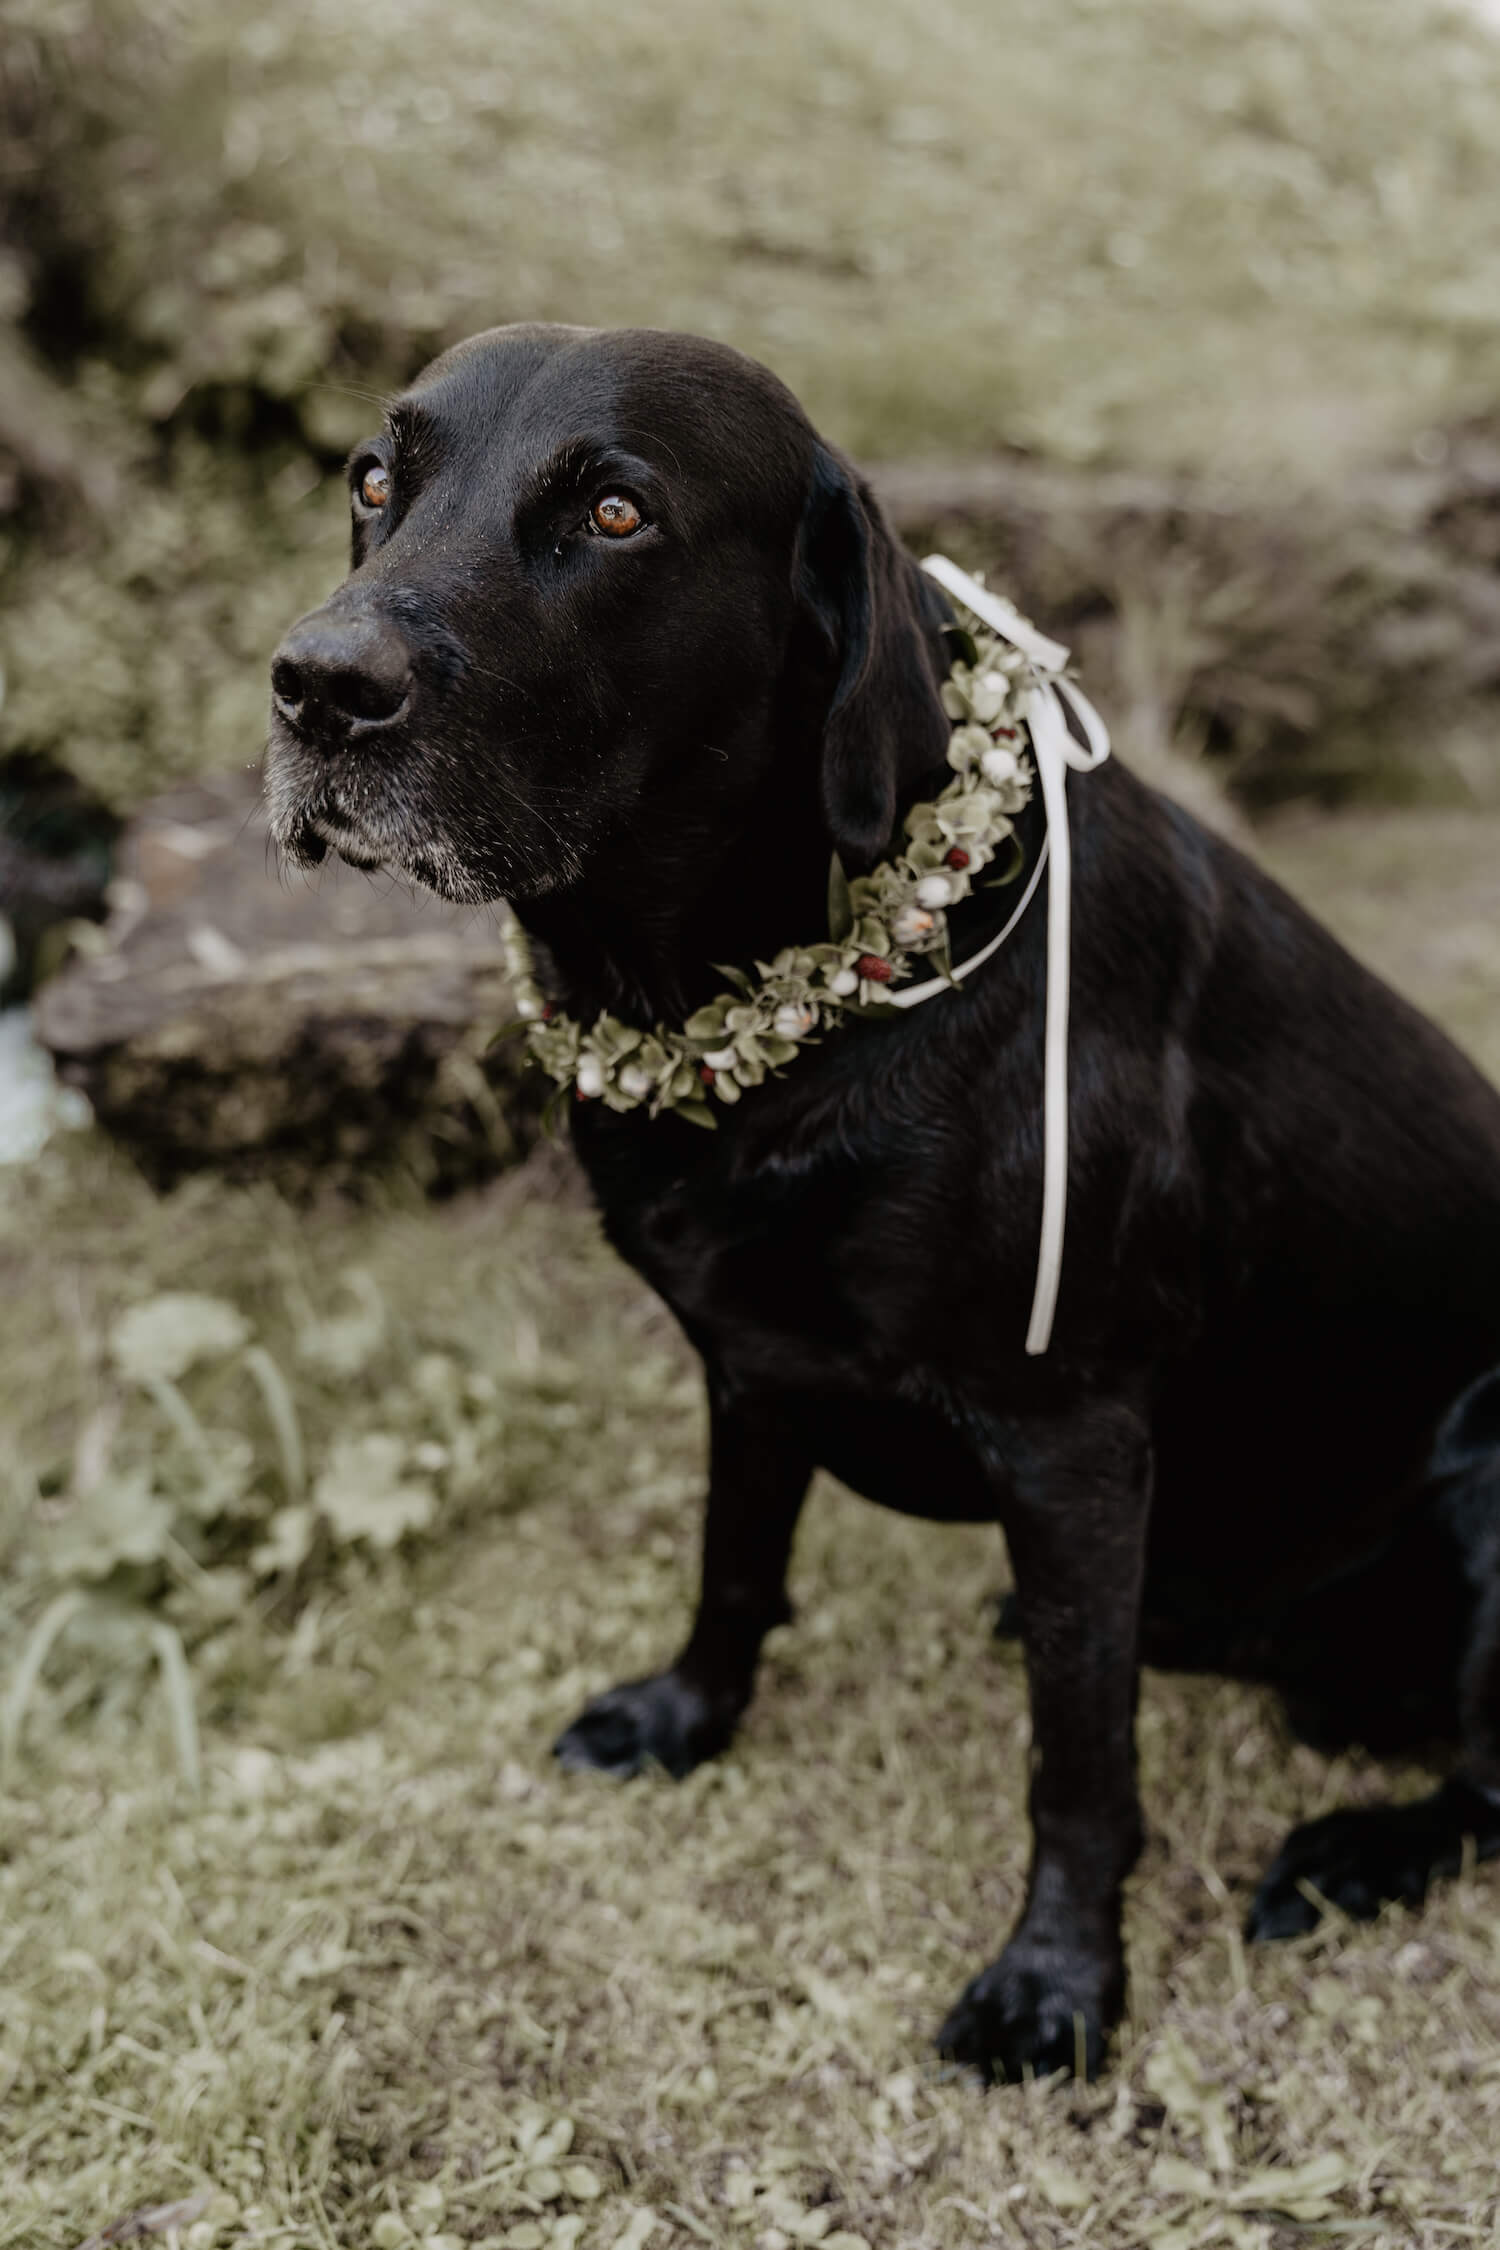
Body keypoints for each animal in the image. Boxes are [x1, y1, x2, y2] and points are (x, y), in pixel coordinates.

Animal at [266, 326, 1500, 2079]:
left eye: (619, 512)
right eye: (376, 479)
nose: (318, 686)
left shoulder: (1070, 1435)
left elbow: (1077, 1765)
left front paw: (1057, 1981)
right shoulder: (744, 1357)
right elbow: (734, 1563)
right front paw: (686, 1716)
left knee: (1485, 1778)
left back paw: (1355, 1849)